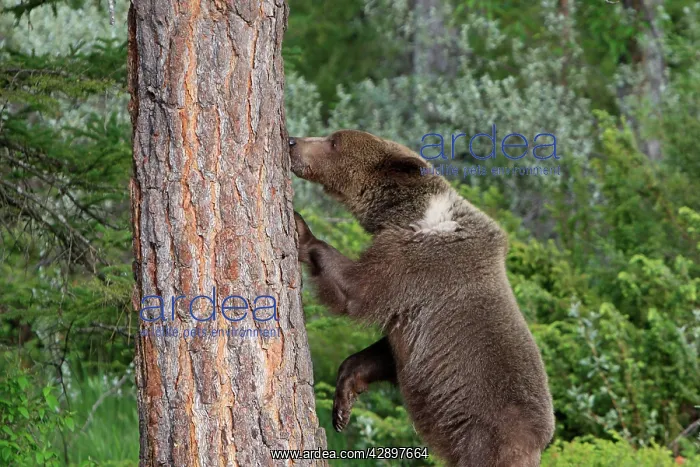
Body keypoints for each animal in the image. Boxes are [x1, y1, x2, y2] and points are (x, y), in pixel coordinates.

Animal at [289, 129, 555, 467]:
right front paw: (343, 403)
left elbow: (356, 290)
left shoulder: (416, 263)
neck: (410, 214)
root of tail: (537, 445)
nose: (292, 141)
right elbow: (383, 352)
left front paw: (301, 228)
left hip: (485, 439)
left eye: (334, 141)